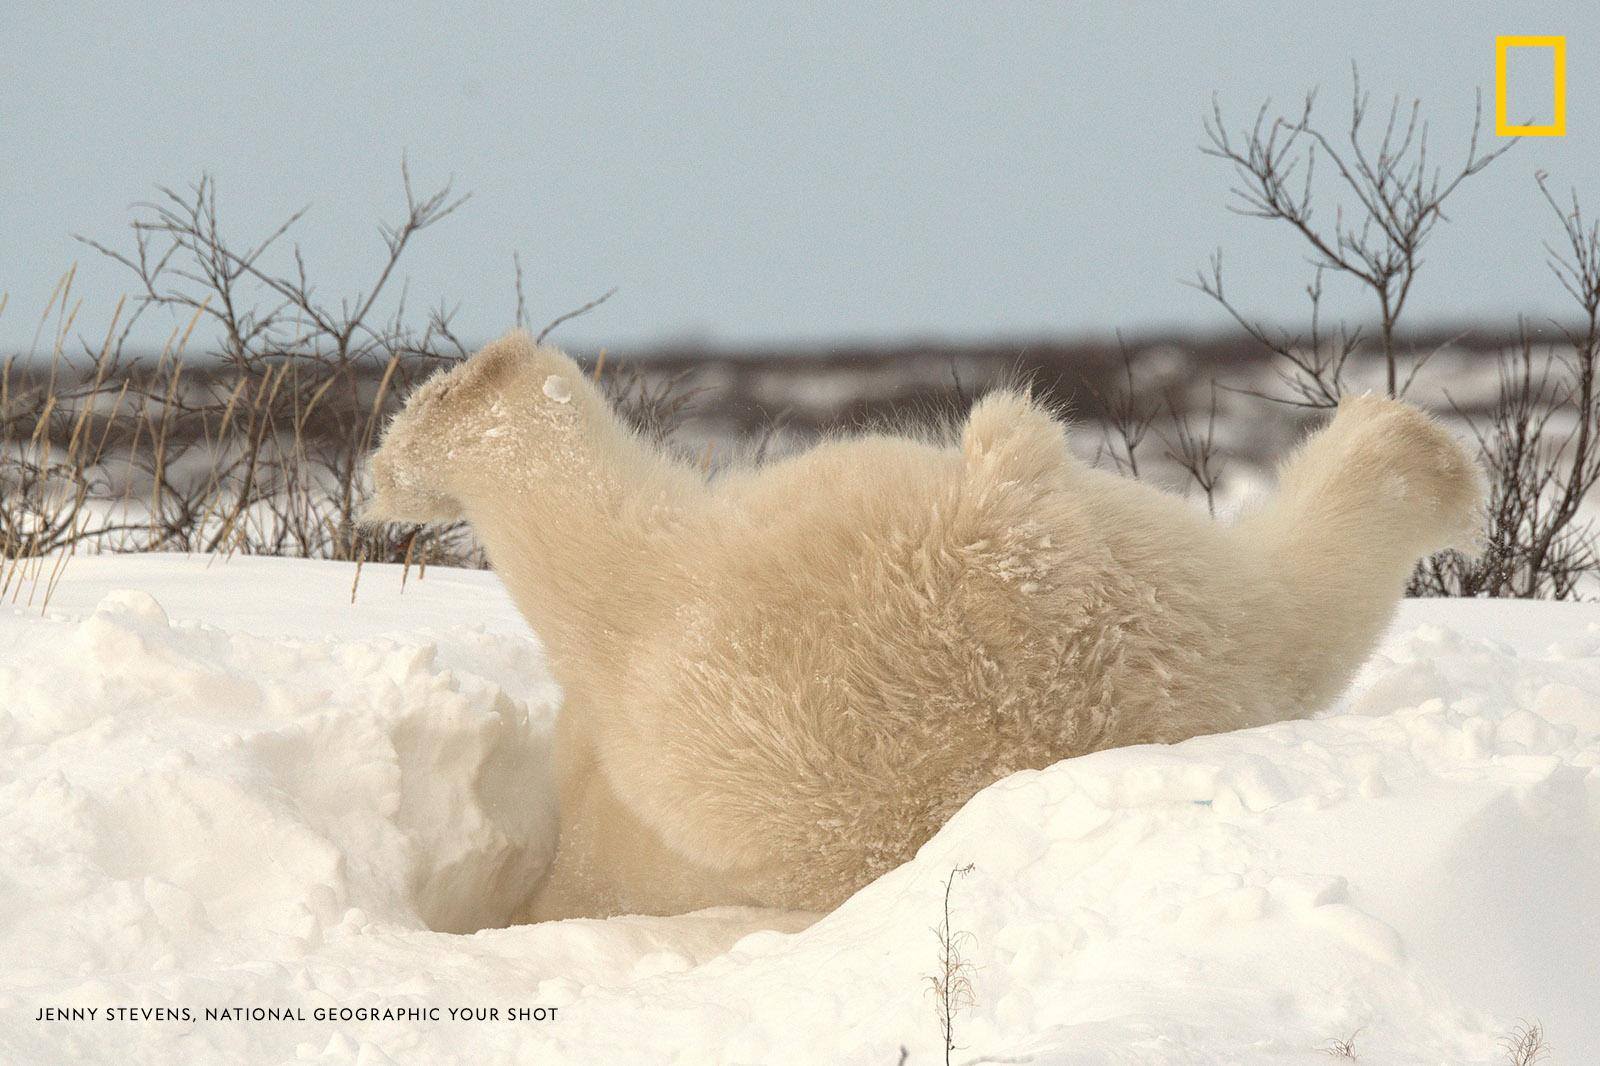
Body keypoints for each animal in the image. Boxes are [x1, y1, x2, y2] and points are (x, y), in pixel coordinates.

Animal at [363, 331, 1484, 922]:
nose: (377, 474)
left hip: (755, 613)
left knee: (608, 555)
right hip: (1173, 604)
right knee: (1289, 607)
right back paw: (1420, 456)